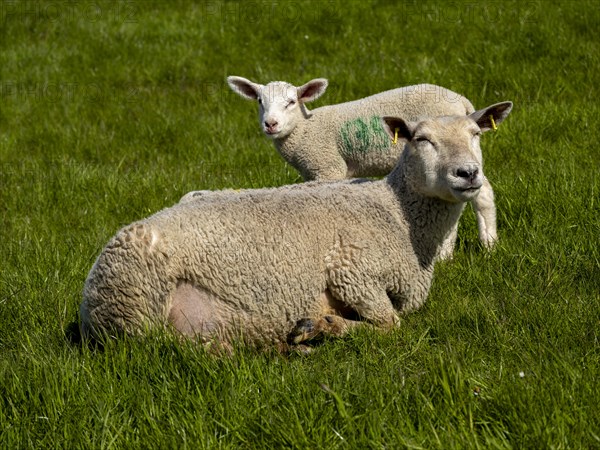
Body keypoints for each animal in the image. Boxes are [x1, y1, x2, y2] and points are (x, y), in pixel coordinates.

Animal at [79, 102, 510, 352]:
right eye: (421, 139)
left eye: (475, 134)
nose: (467, 173)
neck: (397, 214)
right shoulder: (351, 269)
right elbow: (391, 324)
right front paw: (327, 325)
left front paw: (321, 327)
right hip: (138, 303)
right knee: (155, 349)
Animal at [227, 77, 500, 256]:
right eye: (260, 101)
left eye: (291, 102)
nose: (270, 124)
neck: (304, 129)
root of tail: (462, 102)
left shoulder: (328, 167)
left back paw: (481, 246)